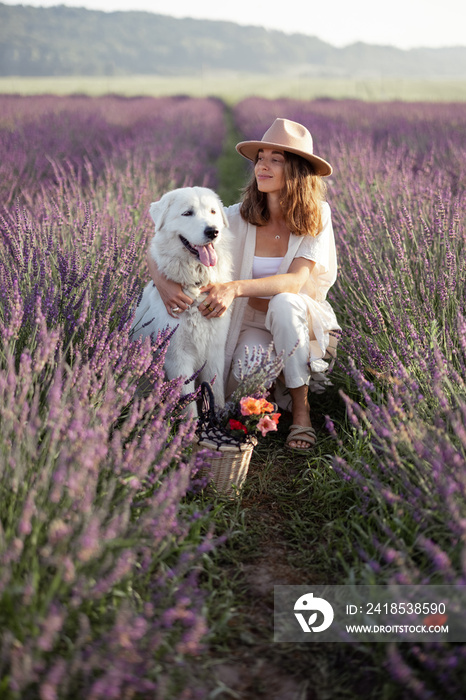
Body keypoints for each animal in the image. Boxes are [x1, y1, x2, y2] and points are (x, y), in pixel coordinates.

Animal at [131, 187, 233, 416]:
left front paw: (218, 418)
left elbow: (217, 393)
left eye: (213, 212)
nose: (213, 231)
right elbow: (189, 406)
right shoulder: (178, 359)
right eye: (187, 213)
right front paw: (192, 425)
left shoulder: (215, 353)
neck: (195, 287)